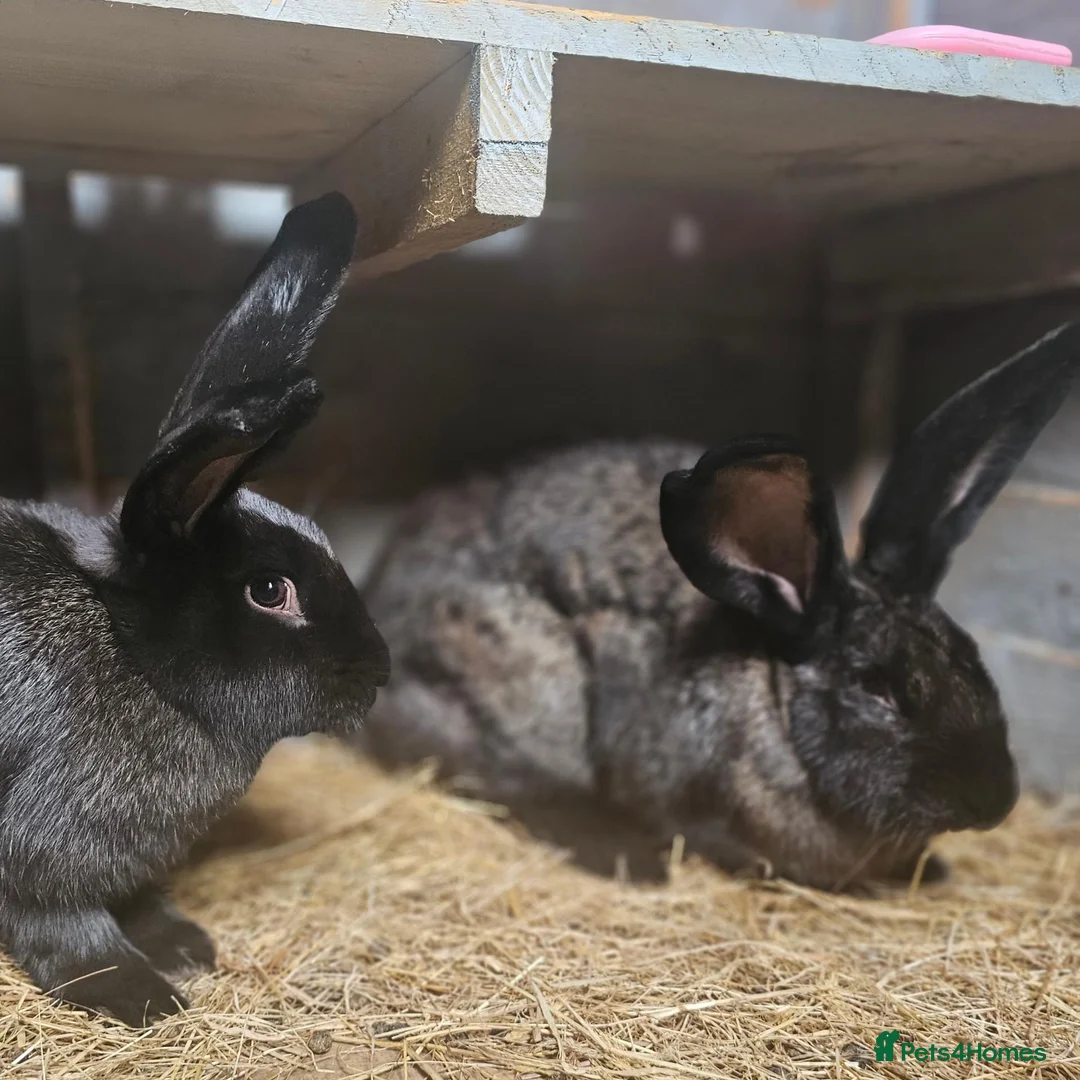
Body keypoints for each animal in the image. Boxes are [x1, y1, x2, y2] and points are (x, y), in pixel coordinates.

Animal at [0, 192, 389, 1026]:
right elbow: (68, 931)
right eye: (270, 590)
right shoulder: (43, 852)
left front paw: (183, 942)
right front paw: (142, 993)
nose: (379, 671)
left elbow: (139, 898)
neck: (137, 662)